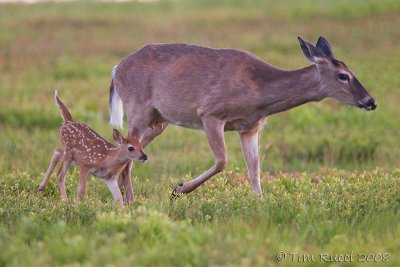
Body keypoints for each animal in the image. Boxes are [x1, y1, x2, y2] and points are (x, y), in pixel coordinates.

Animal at [108, 36, 376, 197]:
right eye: (343, 75)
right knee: (127, 147)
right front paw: (180, 188)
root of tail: (116, 69)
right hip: (139, 108)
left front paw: (259, 203)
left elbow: (254, 168)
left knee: (129, 150)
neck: (258, 91)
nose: (371, 101)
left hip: (159, 120)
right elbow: (222, 161)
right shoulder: (210, 113)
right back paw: (130, 201)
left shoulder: (250, 126)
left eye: (351, 71)